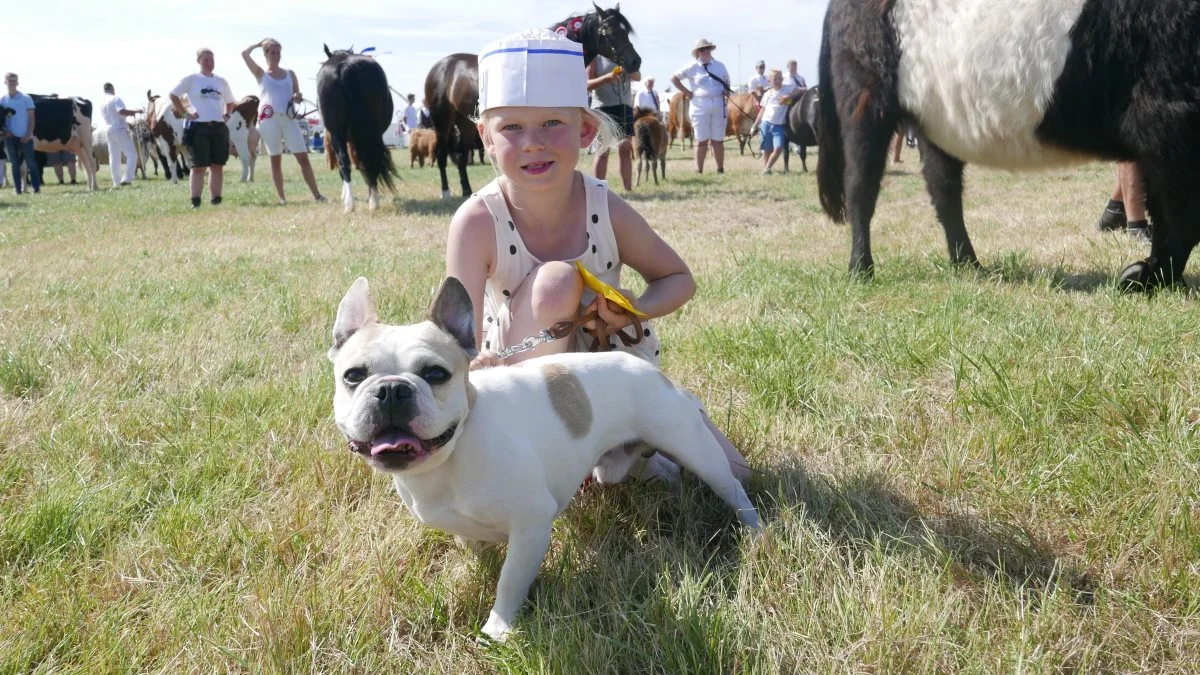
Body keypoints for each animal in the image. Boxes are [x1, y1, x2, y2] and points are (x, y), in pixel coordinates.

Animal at [316, 44, 396, 211]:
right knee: (366, 160)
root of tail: (345, 67)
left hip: (339, 134)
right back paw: (368, 202)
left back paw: (353, 204)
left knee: (347, 162)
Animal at [328, 273, 758, 634]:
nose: (391, 390)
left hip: (694, 446)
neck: (453, 451)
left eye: (435, 374)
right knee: (664, 470)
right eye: (353, 375)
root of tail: (649, 369)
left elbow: (510, 582)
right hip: (627, 463)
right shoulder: (466, 527)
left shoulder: (531, 525)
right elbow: (478, 551)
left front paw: (497, 632)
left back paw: (756, 532)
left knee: (732, 487)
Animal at [427, 2, 643, 198]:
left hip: (464, 123)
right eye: (609, 30)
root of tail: (440, 67)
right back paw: (446, 192)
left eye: (626, 30)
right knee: (442, 155)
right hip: (442, 120)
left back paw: (467, 190)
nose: (635, 61)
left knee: (462, 156)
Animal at [820, 0, 1200, 289]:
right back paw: (861, 268)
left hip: (935, 120)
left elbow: (1171, 213)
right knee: (861, 187)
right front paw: (1149, 277)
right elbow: (1179, 215)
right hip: (867, 97)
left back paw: (967, 264)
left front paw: (1153, 275)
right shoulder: (1166, 115)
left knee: (944, 189)